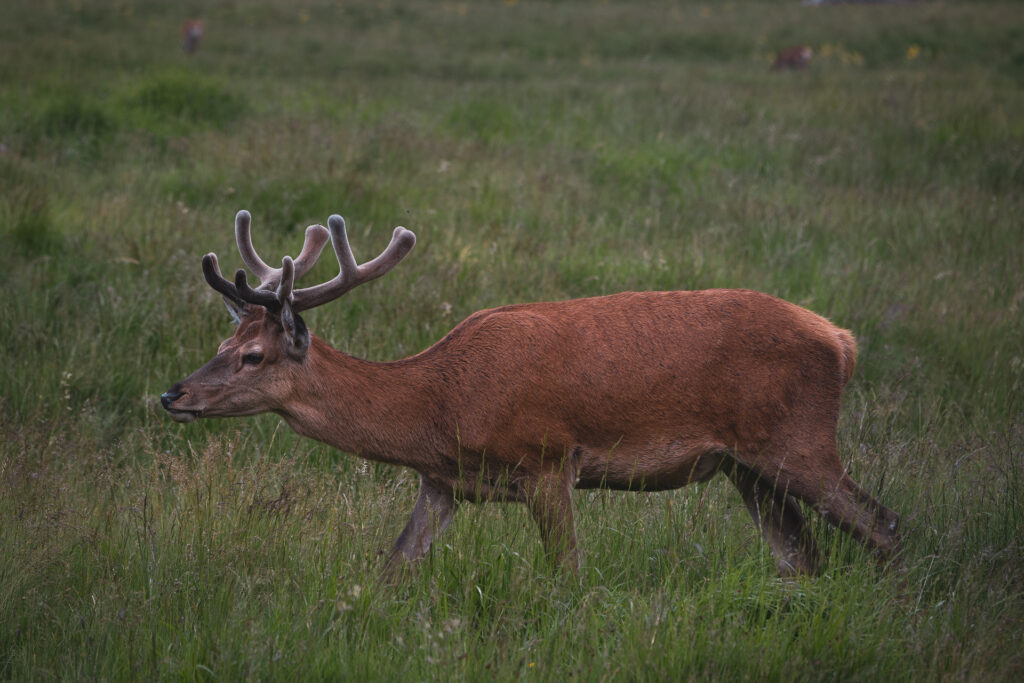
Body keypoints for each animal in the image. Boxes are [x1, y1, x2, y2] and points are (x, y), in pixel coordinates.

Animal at [157, 210, 897, 581]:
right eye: (222, 341)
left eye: (253, 356)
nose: (173, 394)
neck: (437, 404)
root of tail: (842, 340)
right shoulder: (443, 482)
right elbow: (393, 566)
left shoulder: (547, 458)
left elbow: (566, 572)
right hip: (745, 466)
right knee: (802, 556)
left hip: (797, 440)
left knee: (882, 524)